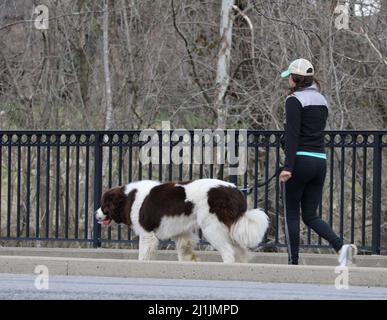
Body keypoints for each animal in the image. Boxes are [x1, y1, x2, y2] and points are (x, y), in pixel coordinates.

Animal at [95, 179, 268, 264]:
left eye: (104, 205)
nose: (95, 215)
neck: (128, 197)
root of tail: (235, 191)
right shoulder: (182, 232)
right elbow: (185, 249)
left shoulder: (147, 234)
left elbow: (143, 254)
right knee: (240, 251)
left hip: (212, 228)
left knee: (228, 252)